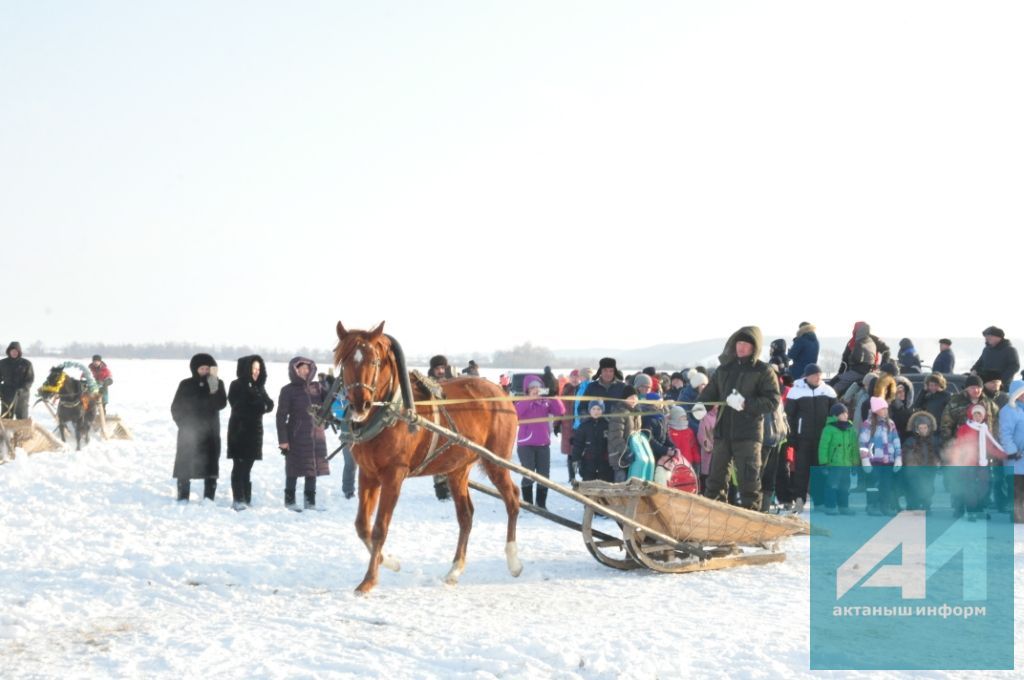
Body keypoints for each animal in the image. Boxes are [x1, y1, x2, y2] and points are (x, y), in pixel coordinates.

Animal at [335, 321, 524, 593]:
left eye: (374, 361)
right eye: (345, 361)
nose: (361, 404)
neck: (391, 412)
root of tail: (500, 392)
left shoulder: (394, 475)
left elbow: (380, 527)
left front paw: (369, 580)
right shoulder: (368, 473)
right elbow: (362, 526)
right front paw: (389, 561)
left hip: (495, 461)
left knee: (512, 499)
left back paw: (513, 561)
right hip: (458, 469)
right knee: (466, 516)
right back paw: (455, 569)